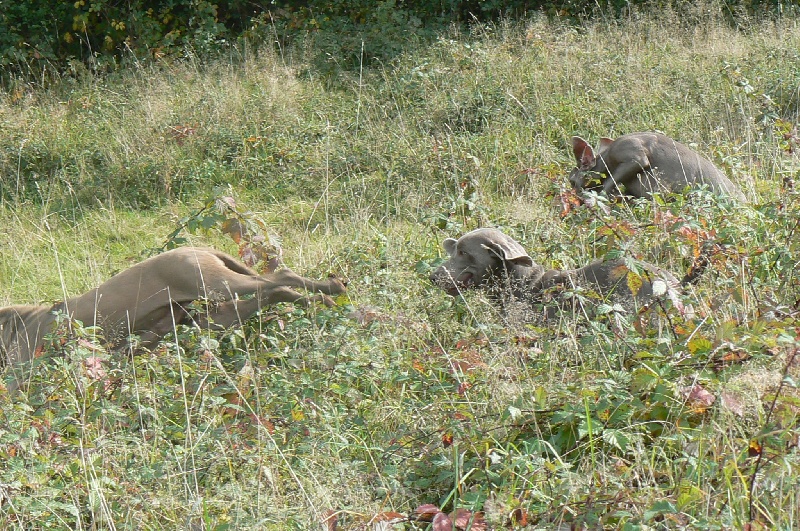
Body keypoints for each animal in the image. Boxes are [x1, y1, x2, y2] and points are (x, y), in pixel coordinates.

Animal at [0, 247, 346, 388]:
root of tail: (201, 248)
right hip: (215, 314)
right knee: (273, 292)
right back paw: (323, 299)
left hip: (213, 283)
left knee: (279, 278)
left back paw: (332, 288)